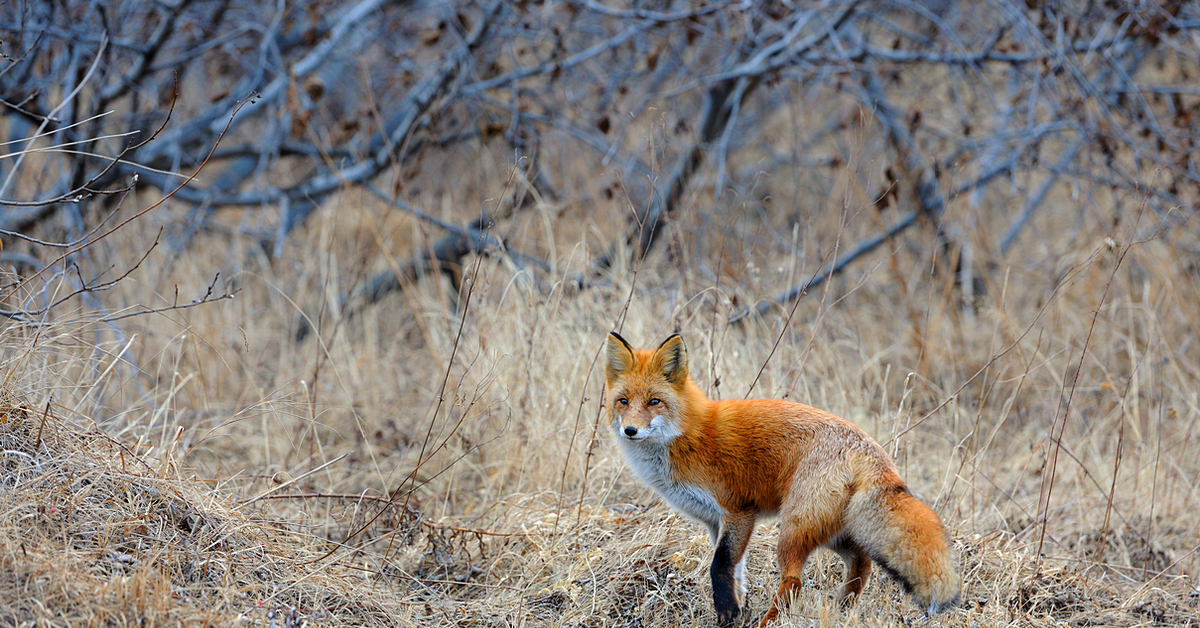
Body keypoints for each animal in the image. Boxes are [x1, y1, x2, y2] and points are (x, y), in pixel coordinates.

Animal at [604, 331, 960, 624]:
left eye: (654, 402)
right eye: (623, 401)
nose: (630, 430)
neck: (686, 436)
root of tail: (872, 450)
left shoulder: (738, 511)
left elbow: (719, 568)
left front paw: (729, 616)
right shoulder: (714, 522)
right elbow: (736, 573)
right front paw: (738, 611)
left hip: (793, 528)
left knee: (794, 580)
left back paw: (772, 622)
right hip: (833, 530)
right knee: (862, 564)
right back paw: (843, 609)